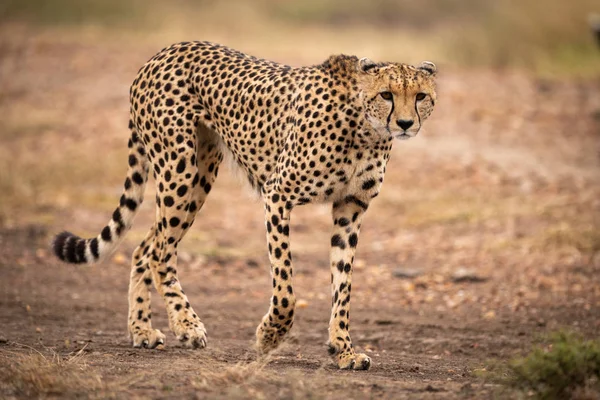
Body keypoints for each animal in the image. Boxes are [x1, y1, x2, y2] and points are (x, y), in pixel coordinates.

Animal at [52, 42, 436, 370]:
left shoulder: (350, 208)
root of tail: (163, 51)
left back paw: (142, 330)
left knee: (144, 248)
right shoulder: (278, 196)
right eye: (386, 95)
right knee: (160, 252)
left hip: (201, 174)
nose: (405, 124)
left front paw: (343, 350)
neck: (366, 129)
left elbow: (343, 286)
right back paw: (186, 324)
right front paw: (269, 337)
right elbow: (286, 288)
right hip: (179, 169)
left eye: (421, 96)